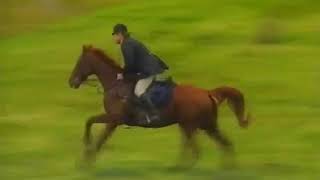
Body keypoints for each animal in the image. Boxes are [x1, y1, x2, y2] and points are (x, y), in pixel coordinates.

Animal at [69, 45, 251, 167]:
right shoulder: (113, 121)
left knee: (197, 151)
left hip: (191, 126)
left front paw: (86, 156)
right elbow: (94, 128)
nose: (71, 82)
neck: (115, 84)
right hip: (205, 126)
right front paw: (87, 157)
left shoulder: (114, 119)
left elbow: (94, 128)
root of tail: (207, 92)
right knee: (225, 145)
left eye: (79, 63)